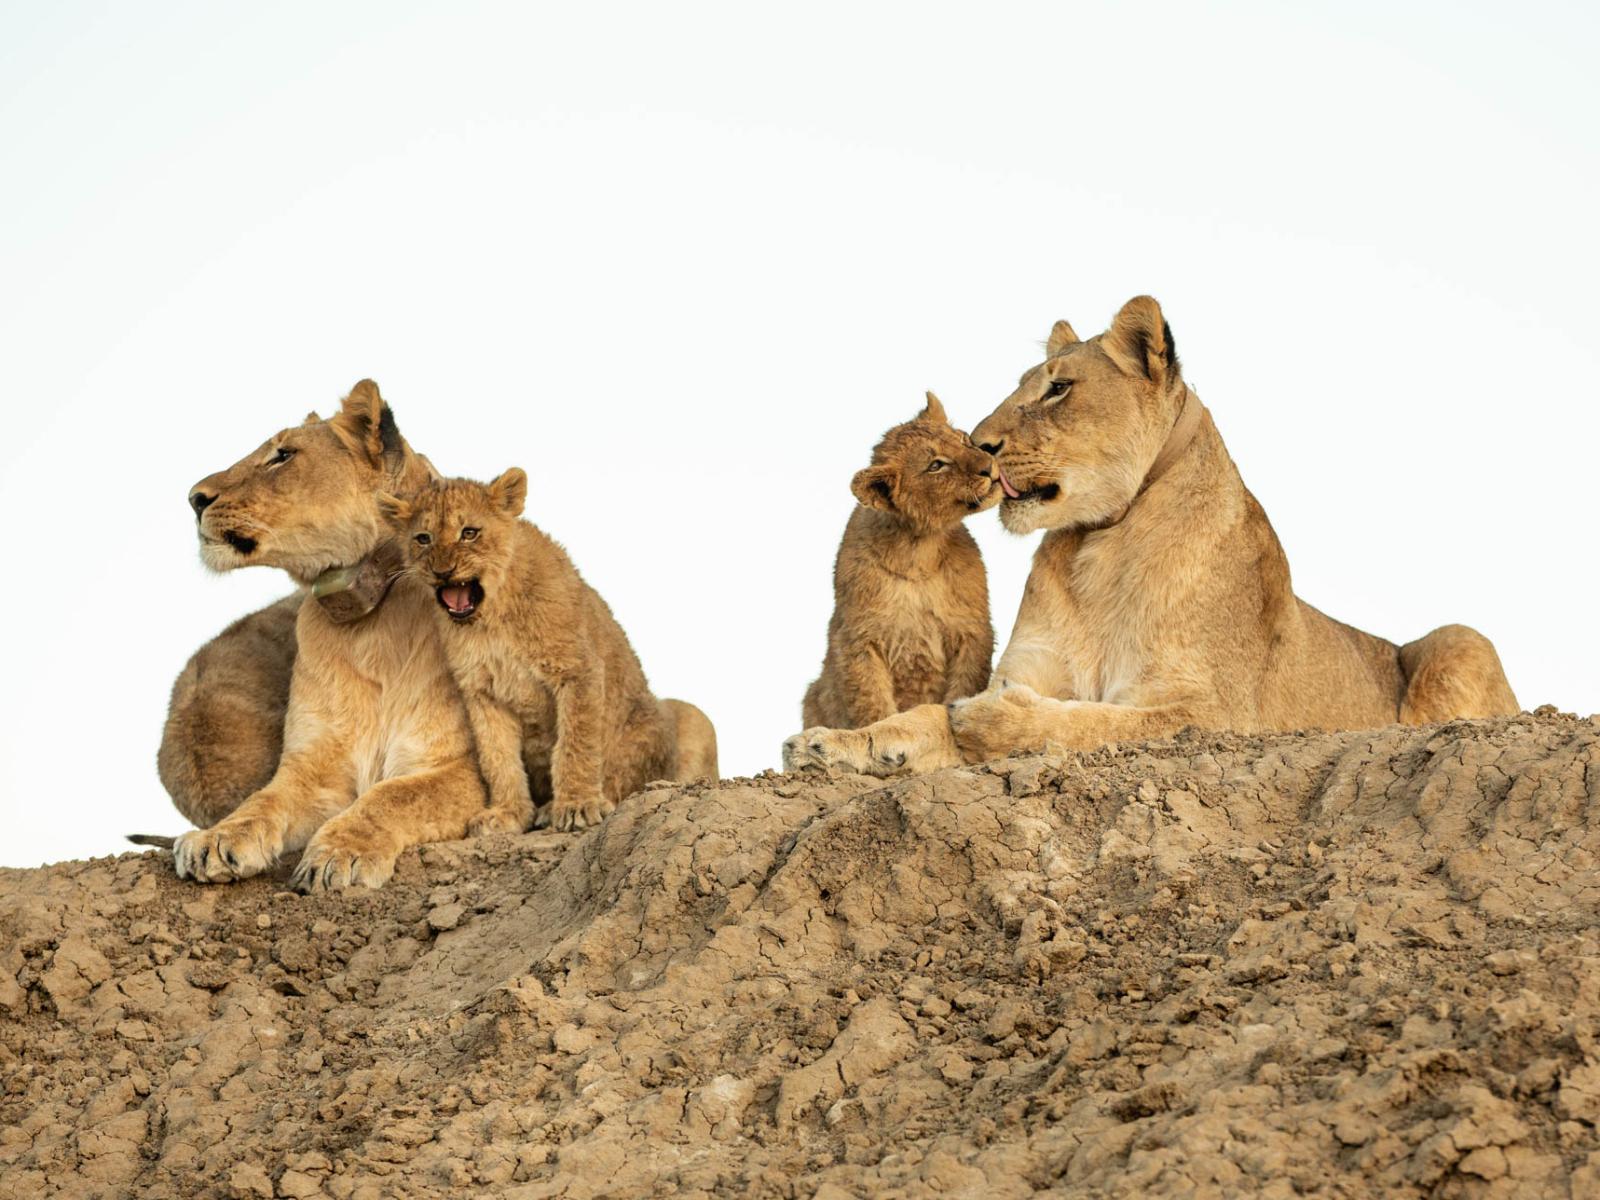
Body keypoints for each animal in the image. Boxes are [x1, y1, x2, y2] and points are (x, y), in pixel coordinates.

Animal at [167, 381, 491, 891]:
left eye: (282, 455)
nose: (194, 499)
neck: (370, 627)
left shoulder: (464, 769)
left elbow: (392, 796)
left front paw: (343, 853)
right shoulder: (313, 767)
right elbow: (264, 801)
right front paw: (216, 839)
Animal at [380, 469, 718, 833]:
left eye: (469, 533)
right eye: (423, 538)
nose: (442, 572)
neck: (491, 620)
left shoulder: (578, 669)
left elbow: (576, 744)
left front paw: (577, 805)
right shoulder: (482, 692)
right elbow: (497, 758)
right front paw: (508, 813)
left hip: (685, 721)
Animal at [801, 392, 999, 730]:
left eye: (963, 439)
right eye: (936, 465)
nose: (989, 466)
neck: (918, 551)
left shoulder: (972, 629)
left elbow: (964, 688)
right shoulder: (858, 640)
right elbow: (873, 705)